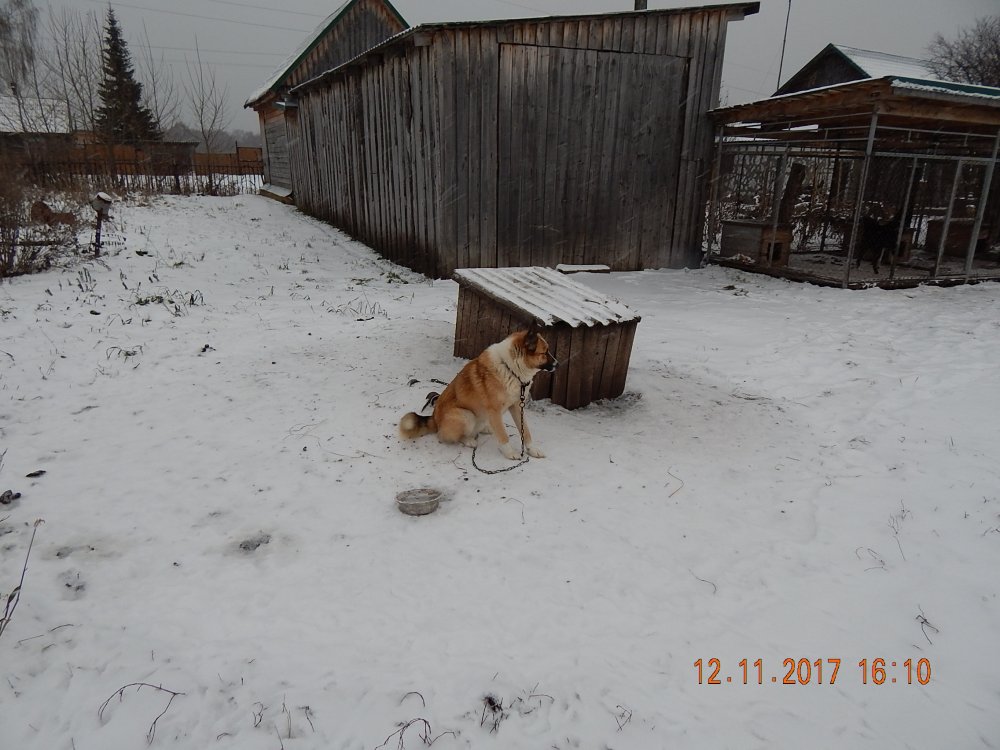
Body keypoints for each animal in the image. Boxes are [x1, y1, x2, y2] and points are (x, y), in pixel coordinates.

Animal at [399, 329, 558, 460]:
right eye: (545, 352)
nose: (558, 364)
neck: (510, 369)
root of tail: (434, 420)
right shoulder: (494, 410)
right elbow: (503, 436)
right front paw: (510, 453)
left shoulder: (517, 406)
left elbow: (526, 432)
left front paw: (532, 450)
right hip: (466, 415)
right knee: (444, 436)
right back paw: (469, 440)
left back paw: (486, 428)